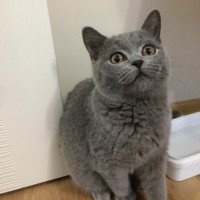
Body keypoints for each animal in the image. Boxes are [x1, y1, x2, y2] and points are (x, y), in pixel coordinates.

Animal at [60, 9, 170, 200]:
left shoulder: (156, 157)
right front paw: (127, 197)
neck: (140, 109)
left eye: (148, 50)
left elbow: (157, 187)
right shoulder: (109, 165)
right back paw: (102, 194)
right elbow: (121, 186)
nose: (138, 61)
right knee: (93, 183)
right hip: (79, 169)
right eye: (116, 58)